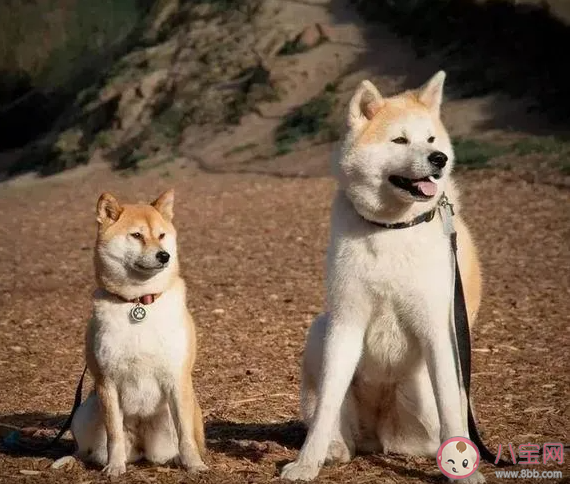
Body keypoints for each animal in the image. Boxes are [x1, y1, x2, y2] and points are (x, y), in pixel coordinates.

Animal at [69, 189, 205, 476]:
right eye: (137, 235)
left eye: (161, 235)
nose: (164, 255)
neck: (139, 303)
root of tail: (142, 449)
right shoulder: (106, 382)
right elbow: (114, 435)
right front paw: (114, 467)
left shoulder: (177, 378)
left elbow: (186, 435)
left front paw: (194, 464)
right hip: (84, 411)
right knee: (86, 449)